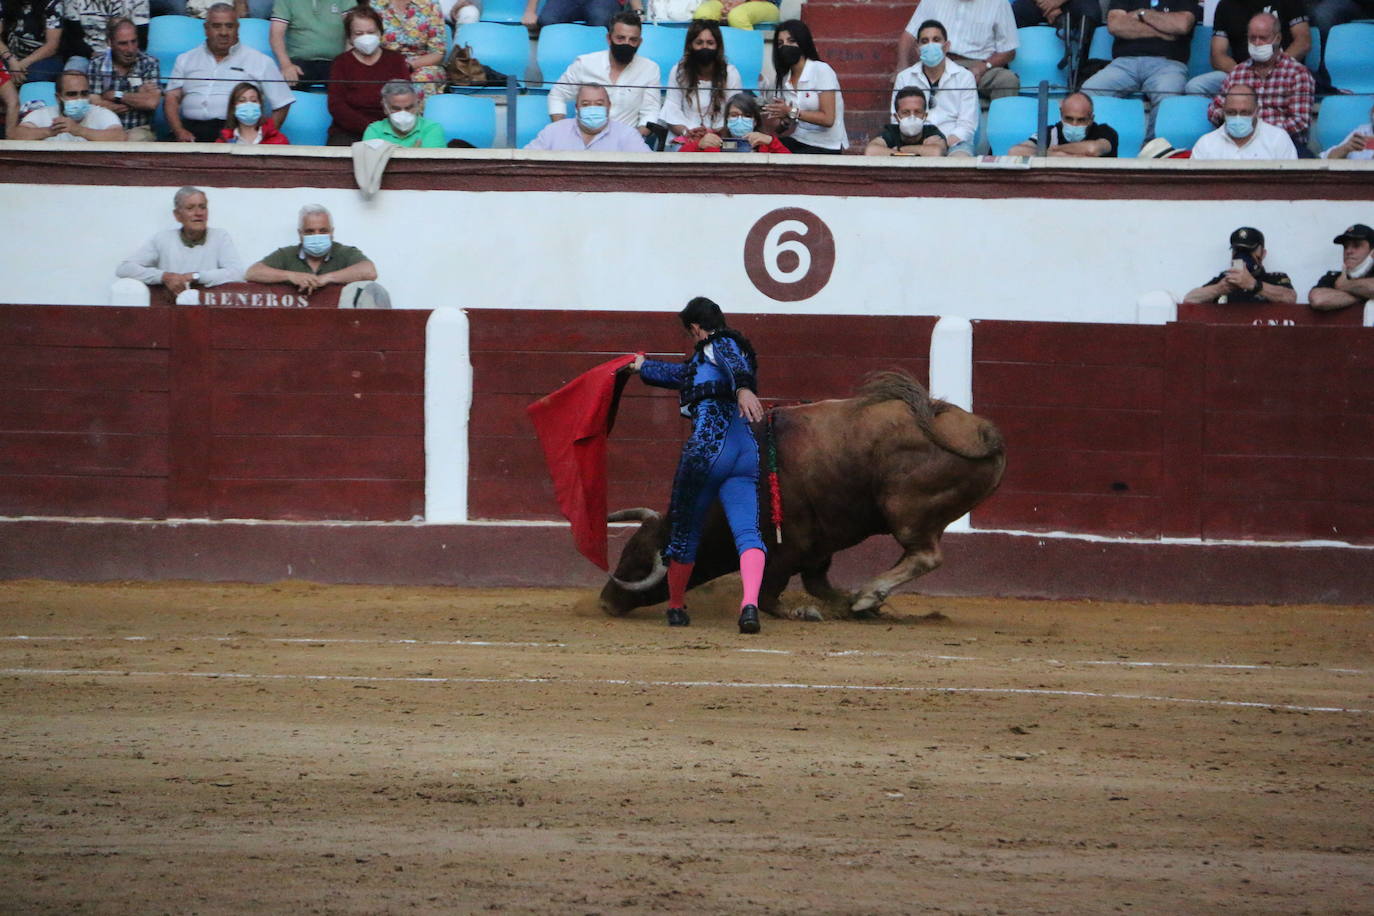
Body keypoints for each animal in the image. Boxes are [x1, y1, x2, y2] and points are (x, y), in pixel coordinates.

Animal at [601, 373, 1011, 623]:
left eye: (638, 562)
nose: (606, 600)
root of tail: (983, 431)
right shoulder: (816, 549)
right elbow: (818, 584)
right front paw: (846, 603)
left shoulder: (786, 550)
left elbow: (770, 595)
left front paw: (811, 611)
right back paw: (866, 600)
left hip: (904, 510)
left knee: (925, 555)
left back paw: (869, 594)